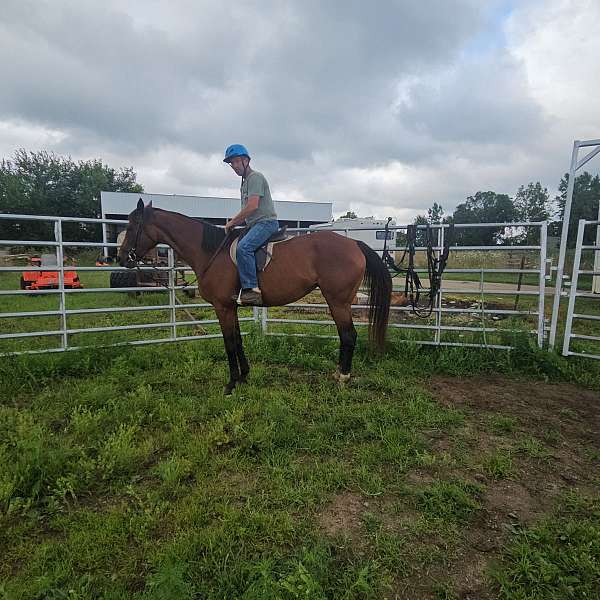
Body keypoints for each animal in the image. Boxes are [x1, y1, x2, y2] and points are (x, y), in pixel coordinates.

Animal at [119, 200, 392, 394]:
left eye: (131, 227)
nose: (121, 258)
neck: (210, 252)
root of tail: (354, 244)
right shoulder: (231, 307)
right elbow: (238, 340)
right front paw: (244, 376)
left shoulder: (222, 307)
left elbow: (229, 343)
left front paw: (230, 384)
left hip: (338, 301)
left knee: (348, 335)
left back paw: (343, 376)